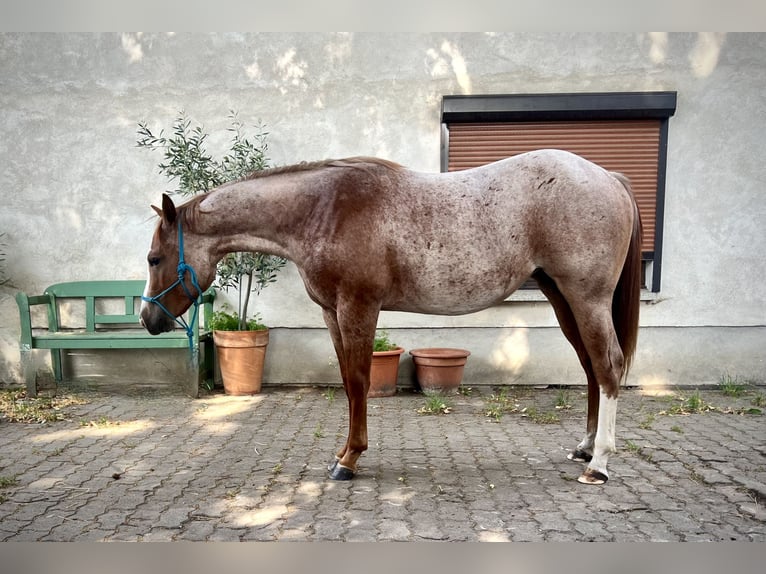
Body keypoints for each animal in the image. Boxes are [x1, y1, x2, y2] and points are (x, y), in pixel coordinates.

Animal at [140, 148, 642, 485]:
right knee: (591, 368)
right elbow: (347, 380)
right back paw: (585, 448)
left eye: (153, 258)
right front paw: (343, 452)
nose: (148, 319)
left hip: (587, 298)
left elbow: (360, 381)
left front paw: (349, 461)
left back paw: (600, 464)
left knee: (609, 366)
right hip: (562, 298)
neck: (323, 209)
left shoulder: (359, 306)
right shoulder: (333, 312)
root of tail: (608, 176)